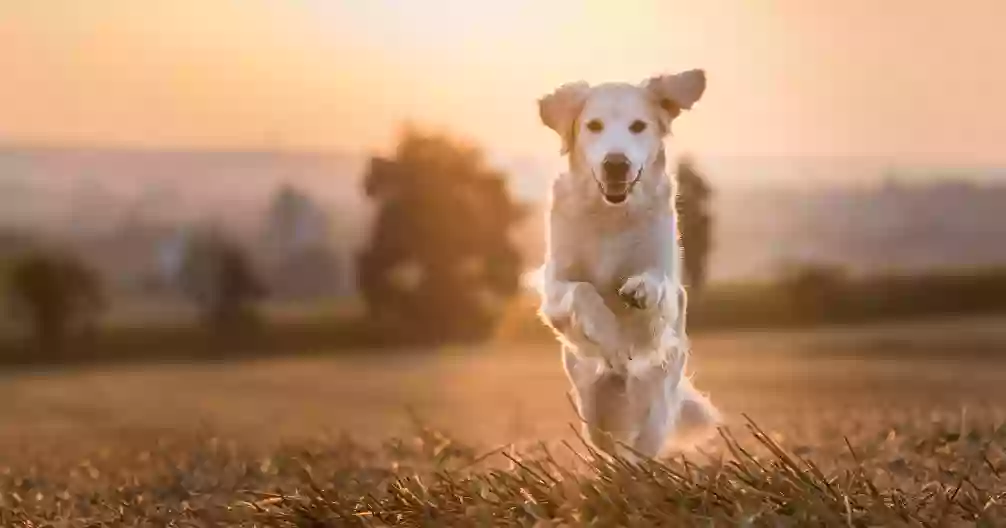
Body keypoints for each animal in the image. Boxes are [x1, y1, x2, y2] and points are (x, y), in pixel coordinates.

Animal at [539, 68, 720, 456]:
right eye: (593, 125)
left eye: (639, 126)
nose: (616, 164)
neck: (612, 215)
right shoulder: (553, 288)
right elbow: (582, 291)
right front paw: (609, 335)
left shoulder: (669, 283)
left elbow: (657, 286)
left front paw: (640, 291)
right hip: (592, 405)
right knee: (606, 446)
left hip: (658, 397)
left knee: (644, 446)